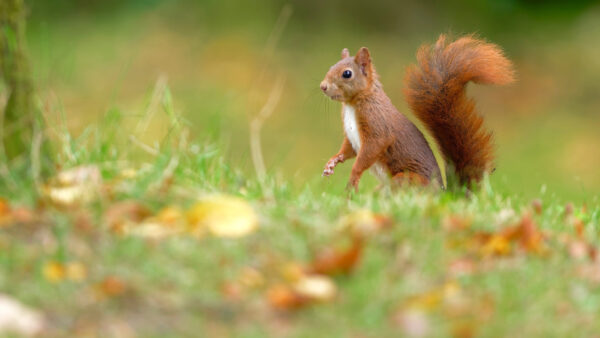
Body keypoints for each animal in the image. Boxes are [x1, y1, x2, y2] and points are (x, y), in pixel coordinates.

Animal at [322, 35, 512, 191]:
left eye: (347, 74)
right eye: (330, 67)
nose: (322, 86)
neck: (352, 104)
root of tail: (443, 194)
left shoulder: (377, 125)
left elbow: (370, 150)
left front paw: (353, 176)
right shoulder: (352, 136)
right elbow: (348, 149)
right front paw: (332, 162)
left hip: (405, 179)